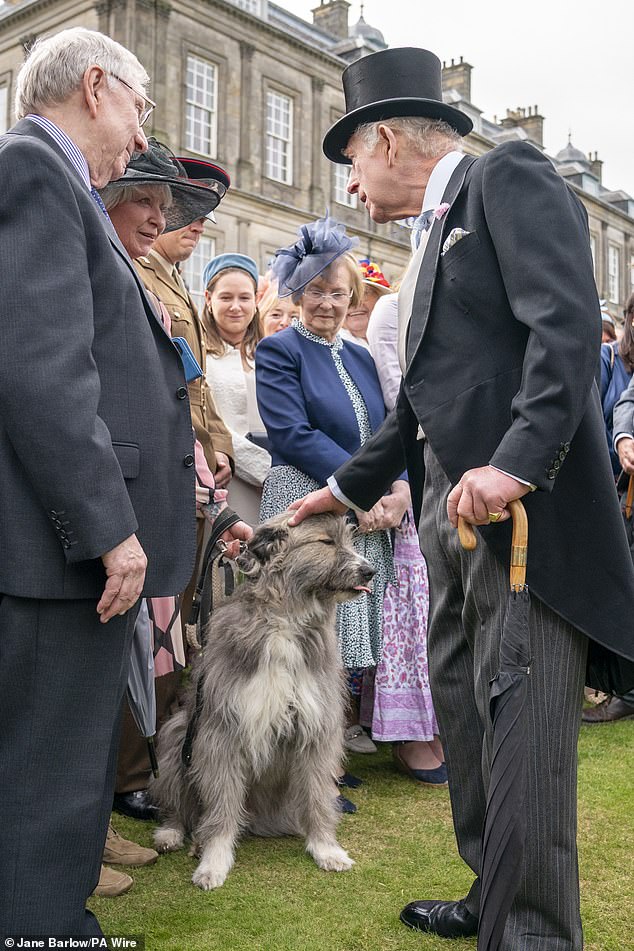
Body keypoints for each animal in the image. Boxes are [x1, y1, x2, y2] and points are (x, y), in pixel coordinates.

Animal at [150, 512, 372, 892]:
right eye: (326, 542)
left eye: (349, 540)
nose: (369, 570)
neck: (285, 617)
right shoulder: (221, 732)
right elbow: (222, 805)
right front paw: (214, 860)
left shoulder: (316, 729)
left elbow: (317, 795)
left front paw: (326, 848)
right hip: (179, 735)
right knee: (181, 805)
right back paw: (173, 833)